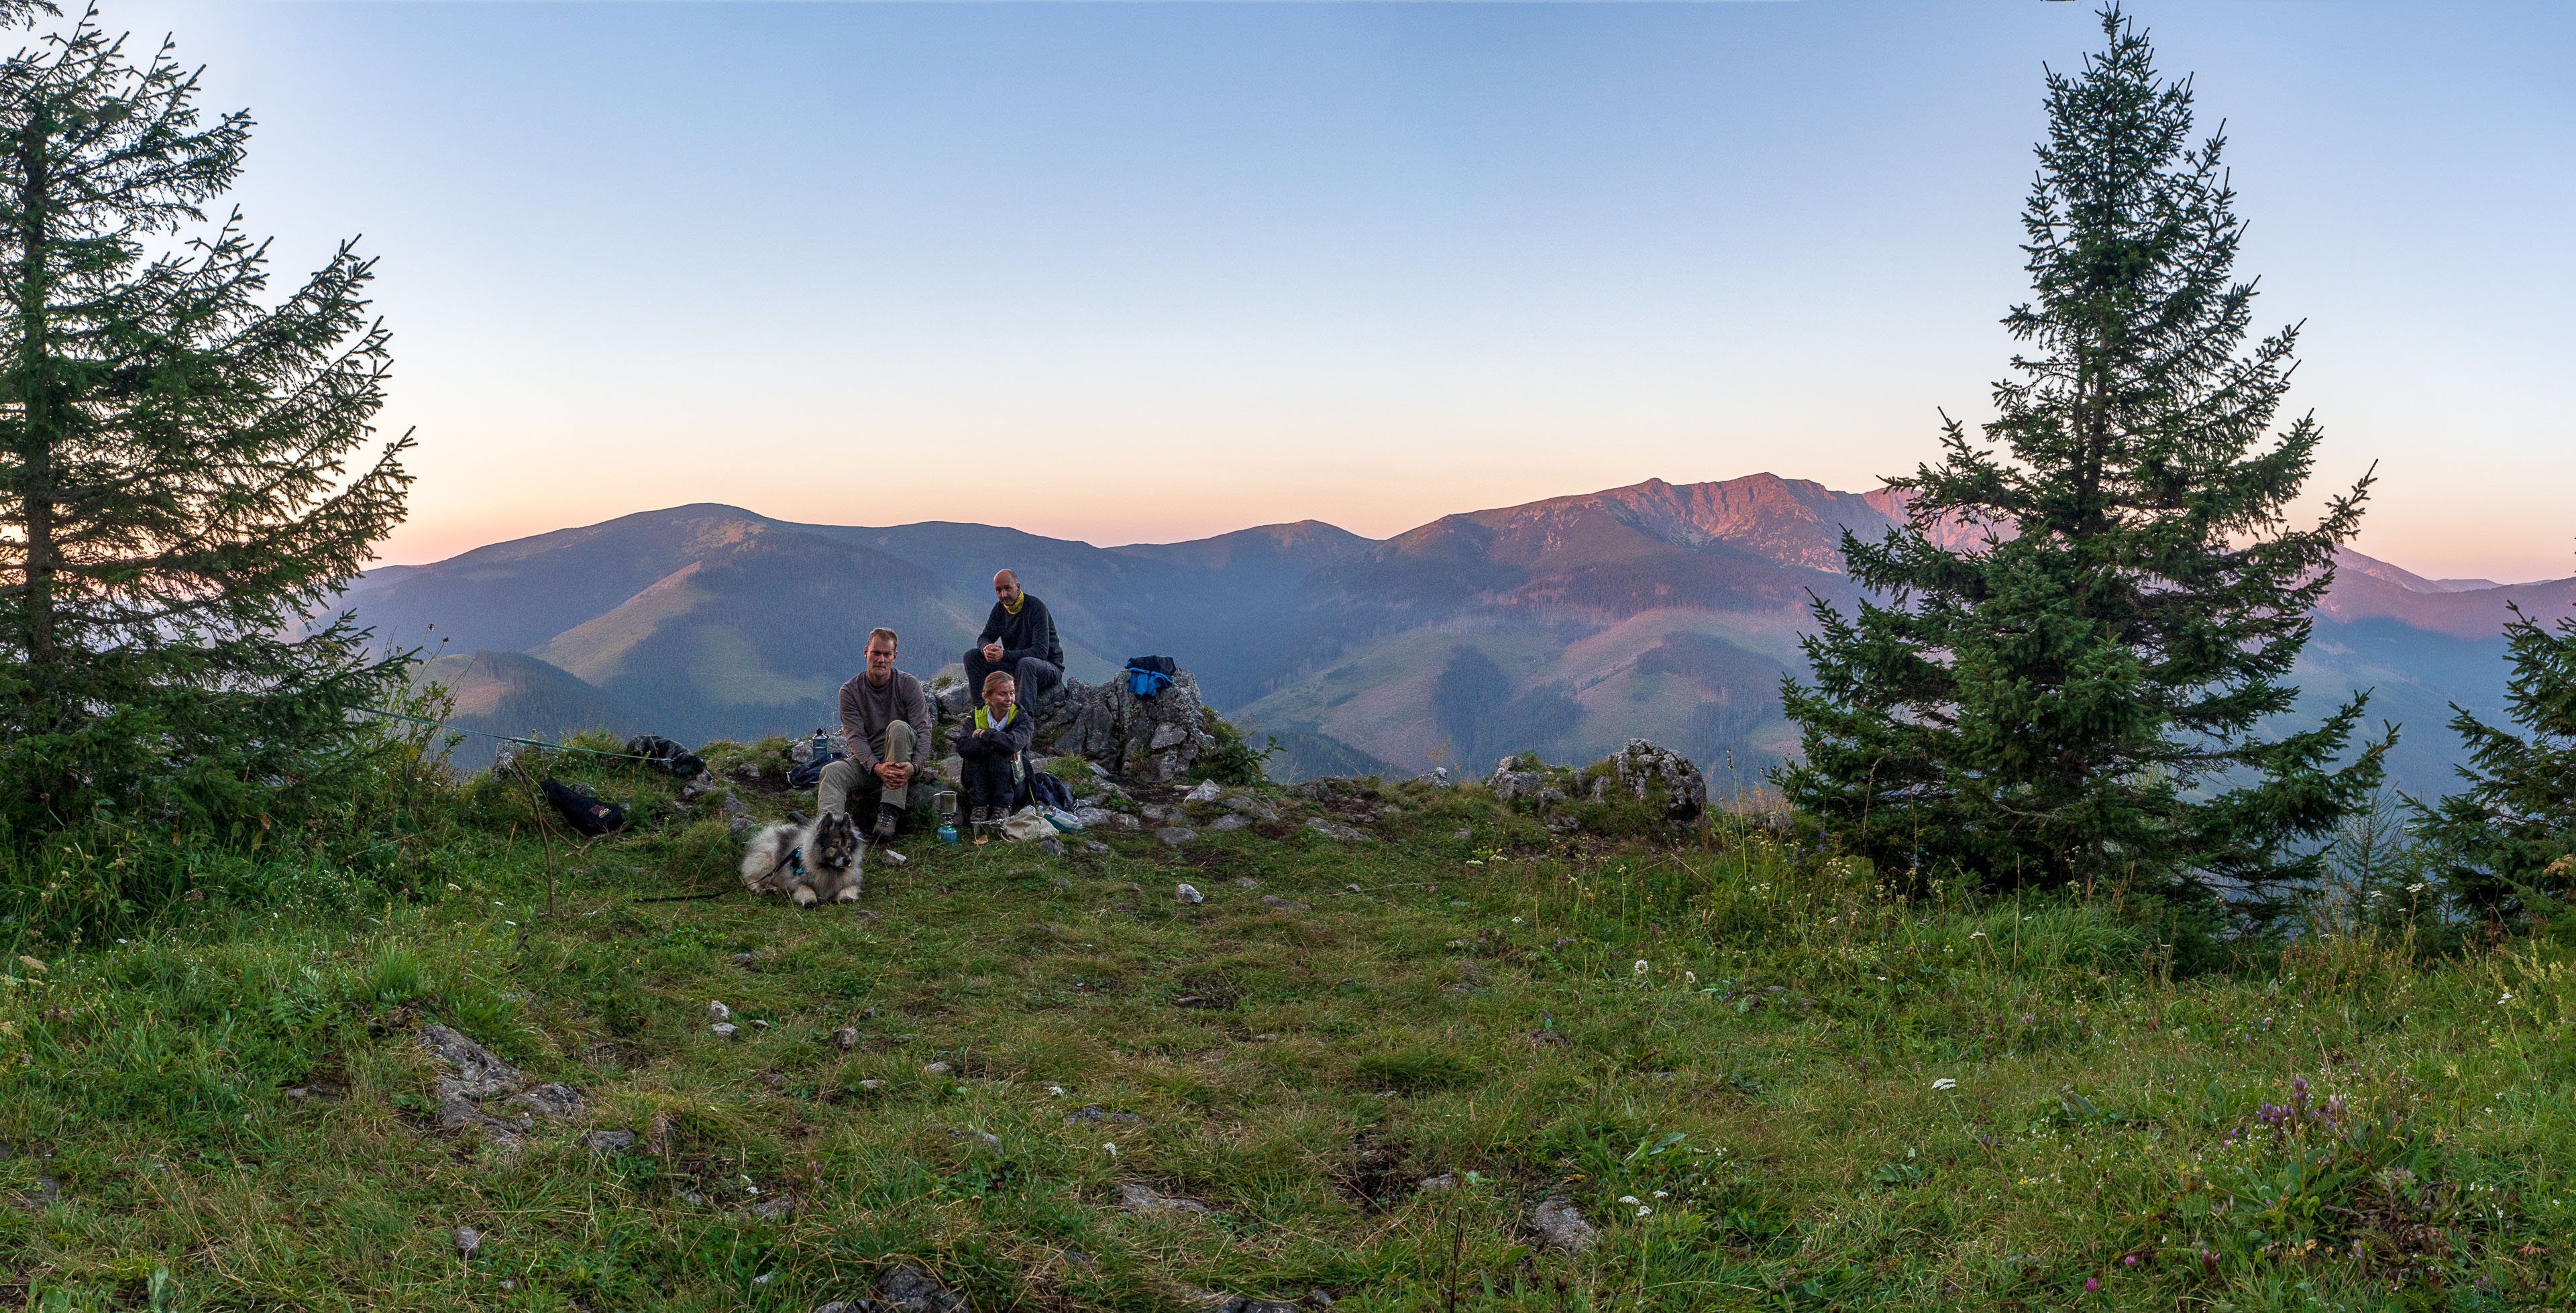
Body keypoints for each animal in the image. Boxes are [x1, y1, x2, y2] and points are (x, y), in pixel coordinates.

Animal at [747, 808, 865, 901]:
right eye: (835, 846)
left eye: (849, 847)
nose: (848, 860)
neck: (828, 868)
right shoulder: (797, 881)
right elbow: (807, 889)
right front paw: (810, 900)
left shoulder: (851, 883)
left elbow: (849, 889)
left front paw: (845, 898)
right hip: (769, 861)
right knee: (751, 878)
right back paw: (758, 888)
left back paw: (773, 889)